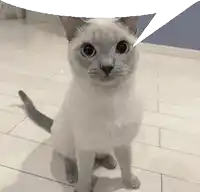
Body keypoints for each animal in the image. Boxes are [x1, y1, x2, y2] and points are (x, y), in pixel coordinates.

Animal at [18, 16, 141, 192]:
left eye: (122, 47)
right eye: (88, 50)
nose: (107, 66)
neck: (108, 98)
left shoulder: (123, 142)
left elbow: (127, 166)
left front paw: (130, 182)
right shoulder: (85, 147)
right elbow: (85, 172)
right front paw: (83, 187)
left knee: (102, 154)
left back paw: (110, 162)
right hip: (67, 138)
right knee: (69, 159)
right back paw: (72, 177)